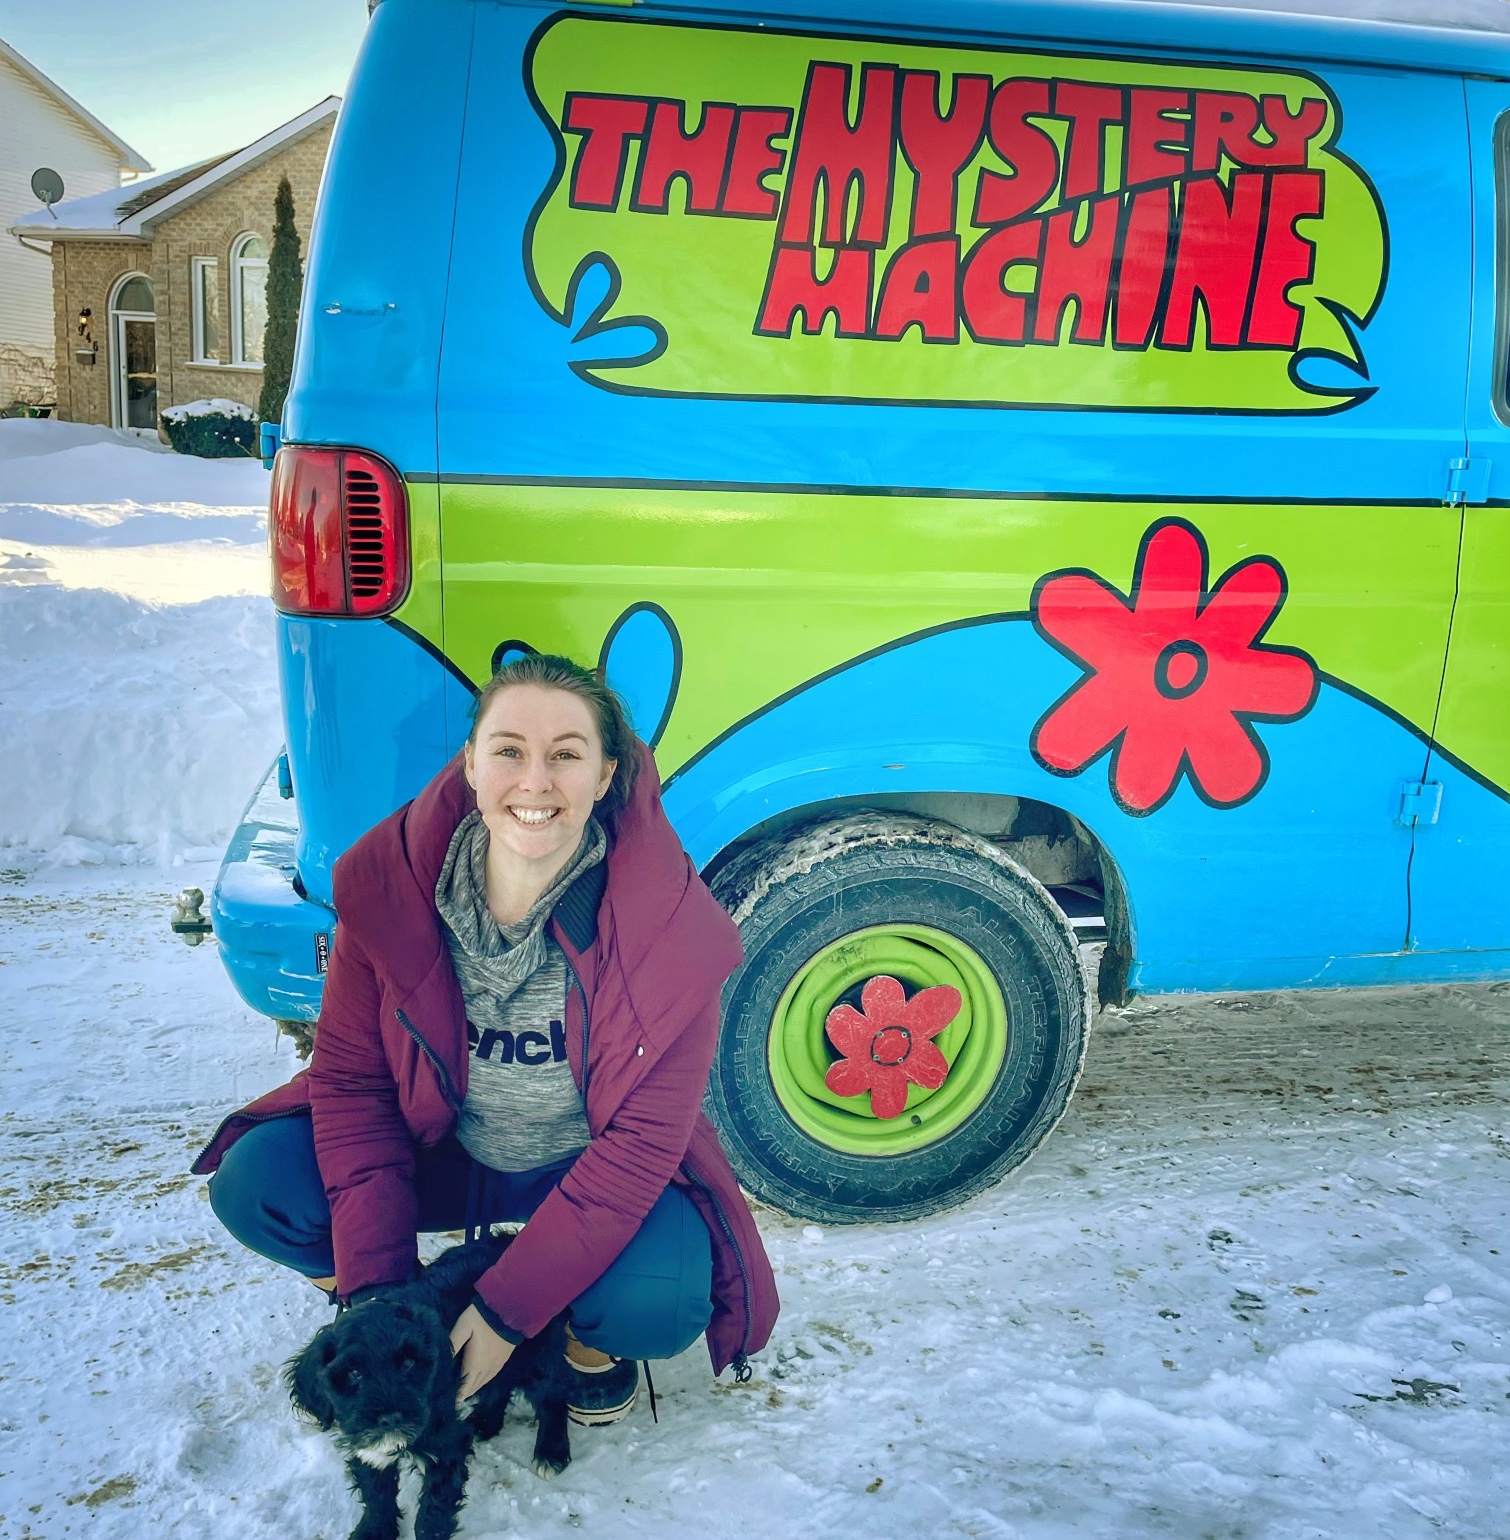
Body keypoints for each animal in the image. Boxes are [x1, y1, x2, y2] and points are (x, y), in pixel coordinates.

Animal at [290, 1238, 578, 1540]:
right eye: (354, 1374)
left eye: (408, 1363)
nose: (391, 1418)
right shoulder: (368, 1446)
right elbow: (376, 1493)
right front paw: (374, 1531)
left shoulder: (446, 1447)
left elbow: (433, 1513)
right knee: (499, 1386)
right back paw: (485, 1423)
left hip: (537, 1354)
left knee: (552, 1396)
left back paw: (551, 1452)